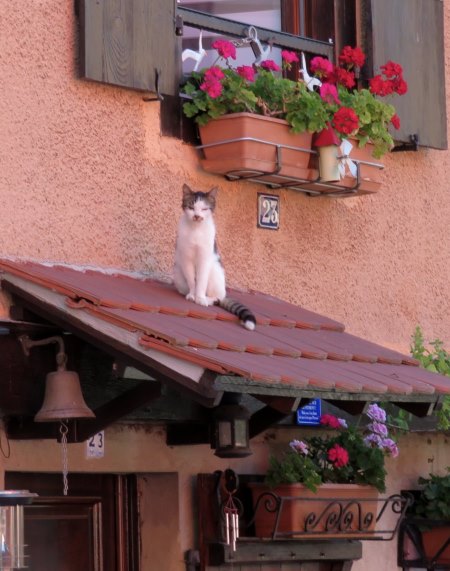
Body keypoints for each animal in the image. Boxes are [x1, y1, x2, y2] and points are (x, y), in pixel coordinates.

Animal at [173, 184, 255, 330]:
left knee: (218, 298)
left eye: (204, 208)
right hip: (178, 273)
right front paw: (193, 295)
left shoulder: (205, 258)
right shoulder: (186, 257)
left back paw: (208, 299)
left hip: (215, 272)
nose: (197, 216)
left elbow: (201, 281)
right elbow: (192, 280)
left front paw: (200, 298)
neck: (196, 230)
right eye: (191, 207)